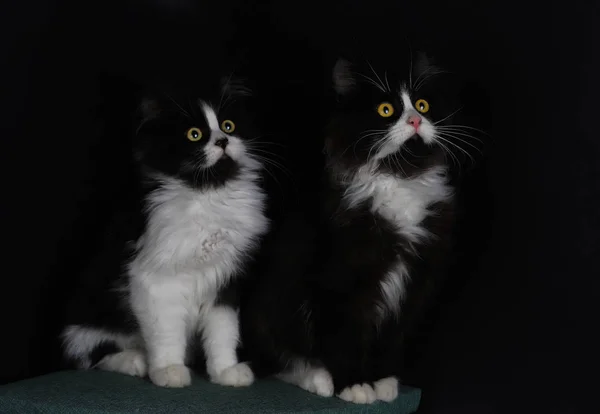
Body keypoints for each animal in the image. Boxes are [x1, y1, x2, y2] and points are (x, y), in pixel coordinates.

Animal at [61, 78, 268, 388]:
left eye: (228, 126)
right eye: (194, 135)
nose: (222, 141)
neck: (206, 193)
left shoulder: (225, 280)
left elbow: (223, 332)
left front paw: (225, 372)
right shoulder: (155, 280)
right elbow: (167, 333)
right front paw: (169, 371)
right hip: (89, 326)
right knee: (94, 356)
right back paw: (136, 361)